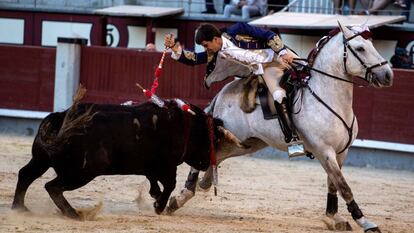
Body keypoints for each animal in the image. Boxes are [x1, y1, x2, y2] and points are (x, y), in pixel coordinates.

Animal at [11, 100, 236, 218]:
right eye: (210, 140)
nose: (207, 163)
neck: (184, 126)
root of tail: (60, 116)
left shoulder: (151, 166)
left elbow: (154, 181)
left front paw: (155, 197)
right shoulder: (167, 166)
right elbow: (169, 185)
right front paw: (159, 206)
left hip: (41, 160)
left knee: (26, 174)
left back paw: (20, 208)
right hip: (81, 172)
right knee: (52, 186)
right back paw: (74, 214)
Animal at [167, 22, 392, 233]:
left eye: (372, 44)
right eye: (360, 48)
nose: (388, 74)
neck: (328, 96)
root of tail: (221, 94)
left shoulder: (341, 152)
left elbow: (333, 184)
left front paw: (333, 218)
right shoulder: (324, 151)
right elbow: (344, 186)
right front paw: (365, 222)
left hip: (246, 143)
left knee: (217, 157)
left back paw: (196, 188)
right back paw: (180, 197)